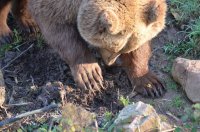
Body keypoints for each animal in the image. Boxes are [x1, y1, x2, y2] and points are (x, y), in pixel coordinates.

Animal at [28, 0, 167, 97]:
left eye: (124, 49)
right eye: (112, 48)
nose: (111, 63)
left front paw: (151, 84)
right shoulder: (53, 6)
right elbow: (58, 27)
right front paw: (91, 76)